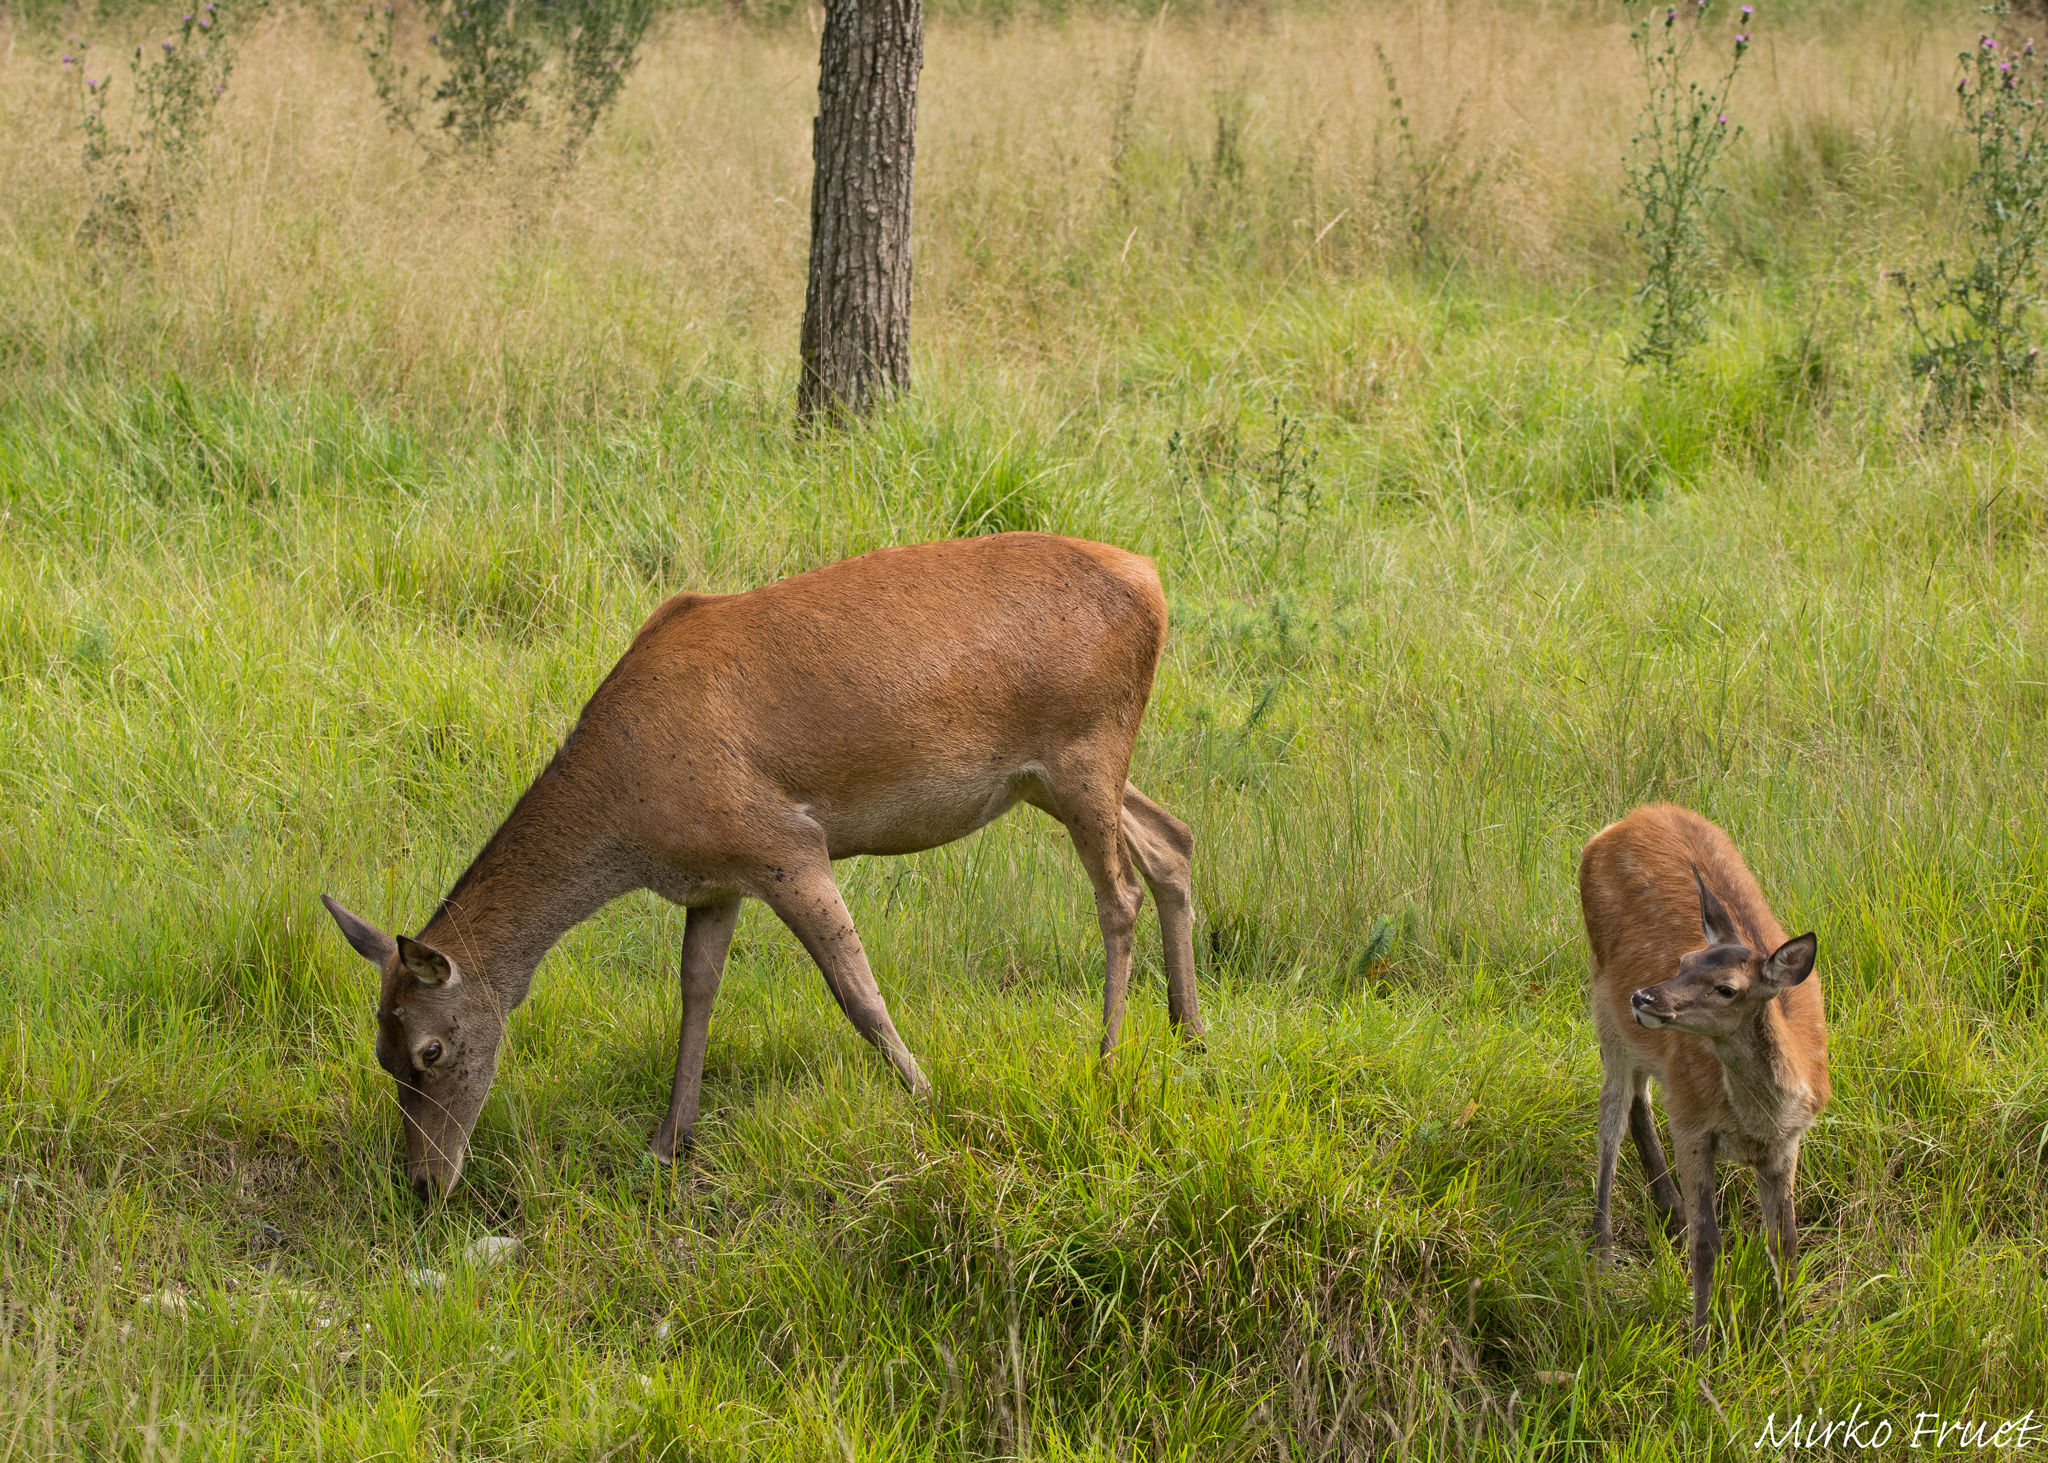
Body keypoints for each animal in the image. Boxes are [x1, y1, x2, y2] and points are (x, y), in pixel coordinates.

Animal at [321, 532, 1203, 1201]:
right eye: (379, 1052)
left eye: (431, 1051)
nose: (422, 1185)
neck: (629, 816)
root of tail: (1154, 578)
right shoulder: (714, 881)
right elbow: (696, 990)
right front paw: (666, 1142)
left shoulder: (781, 842)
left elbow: (857, 991)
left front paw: (930, 1101)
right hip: (1058, 777)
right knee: (1173, 840)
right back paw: (1188, 1029)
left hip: (1085, 748)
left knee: (1119, 893)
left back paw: (1107, 1058)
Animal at [1579, 803, 1829, 1354]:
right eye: (1683, 960)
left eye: (1726, 988)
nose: (1644, 997)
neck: (1757, 1122)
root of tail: (1624, 821)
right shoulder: (1693, 1121)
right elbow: (1708, 1240)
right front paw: (1699, 1347)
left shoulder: (1789, 1141)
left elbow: (1784, 1240)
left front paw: (1790, 1335)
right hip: (1603, 1000)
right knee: (1611, 1113)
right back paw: (1602, 1248)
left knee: (1639, 1098)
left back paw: (1668, 1209)